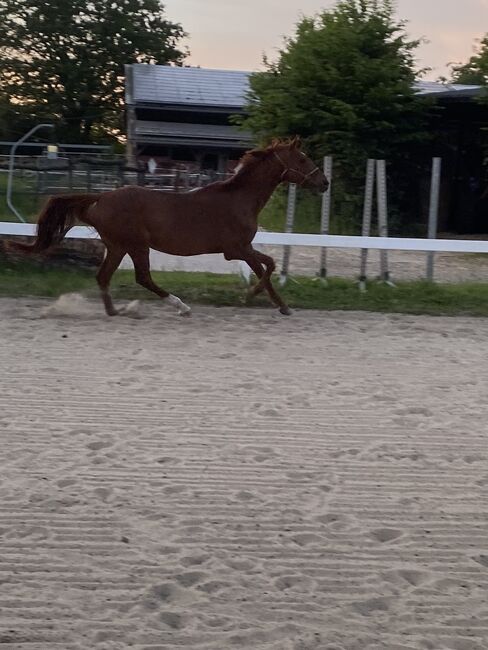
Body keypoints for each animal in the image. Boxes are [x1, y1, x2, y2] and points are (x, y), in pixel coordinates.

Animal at [11, 139, 330, 316]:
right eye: (302, 159)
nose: (324, 182)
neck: (240, 199)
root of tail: (100, 198)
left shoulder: (243, 248)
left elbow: (267, 266)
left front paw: (276, 303)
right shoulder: (237, 249)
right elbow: (268, 266)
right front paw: (256, 296)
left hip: (117, 246)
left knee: (104, 277)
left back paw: (114, 311)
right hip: (136, 245)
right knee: (143, 278)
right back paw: (181, 307)